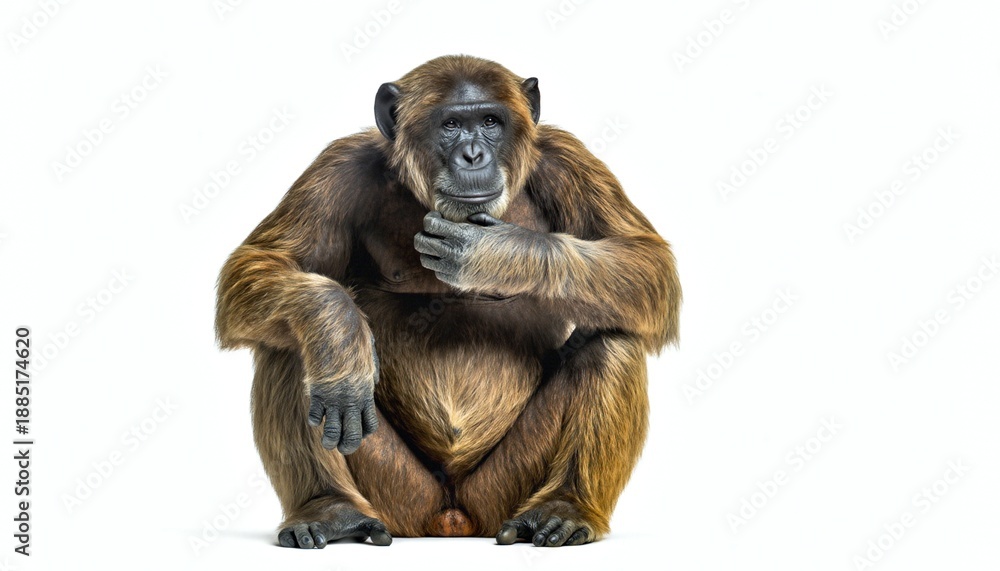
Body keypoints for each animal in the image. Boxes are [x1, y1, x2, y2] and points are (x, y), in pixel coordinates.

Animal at [215, 55, 680, 548]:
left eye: (491, 122)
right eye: (451, 125)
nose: (473, 154)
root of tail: (452, 522)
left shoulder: (570, 160)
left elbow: (646, 260)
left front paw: (494, 253)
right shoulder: (336, 168)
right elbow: (263, 261)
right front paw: (339, 337)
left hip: (501, 492)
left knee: (614, 342)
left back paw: (565, 508)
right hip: (401, 498)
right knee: (290, 344)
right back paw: (329, 507)